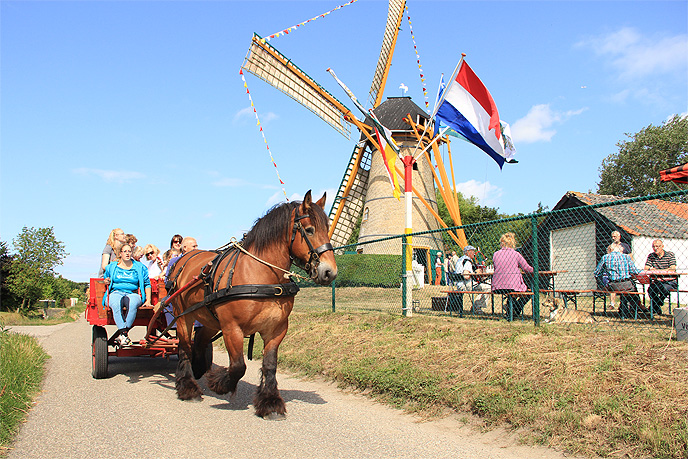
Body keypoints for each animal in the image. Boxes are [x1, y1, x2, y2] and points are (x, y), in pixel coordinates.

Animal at [164, 190, 336, 420]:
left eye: (327, 229)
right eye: (309, 230)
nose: (330, 272)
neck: (261, 276)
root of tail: (184, 258)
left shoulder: (277, 329)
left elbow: (270, 365)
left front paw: (270, 403)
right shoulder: (232, 328)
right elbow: (238, 366)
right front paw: (220, 383)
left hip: (209, 319)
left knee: (199, 342)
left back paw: (199, 369)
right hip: (183, 316)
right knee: (184, 347)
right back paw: (187, 387)